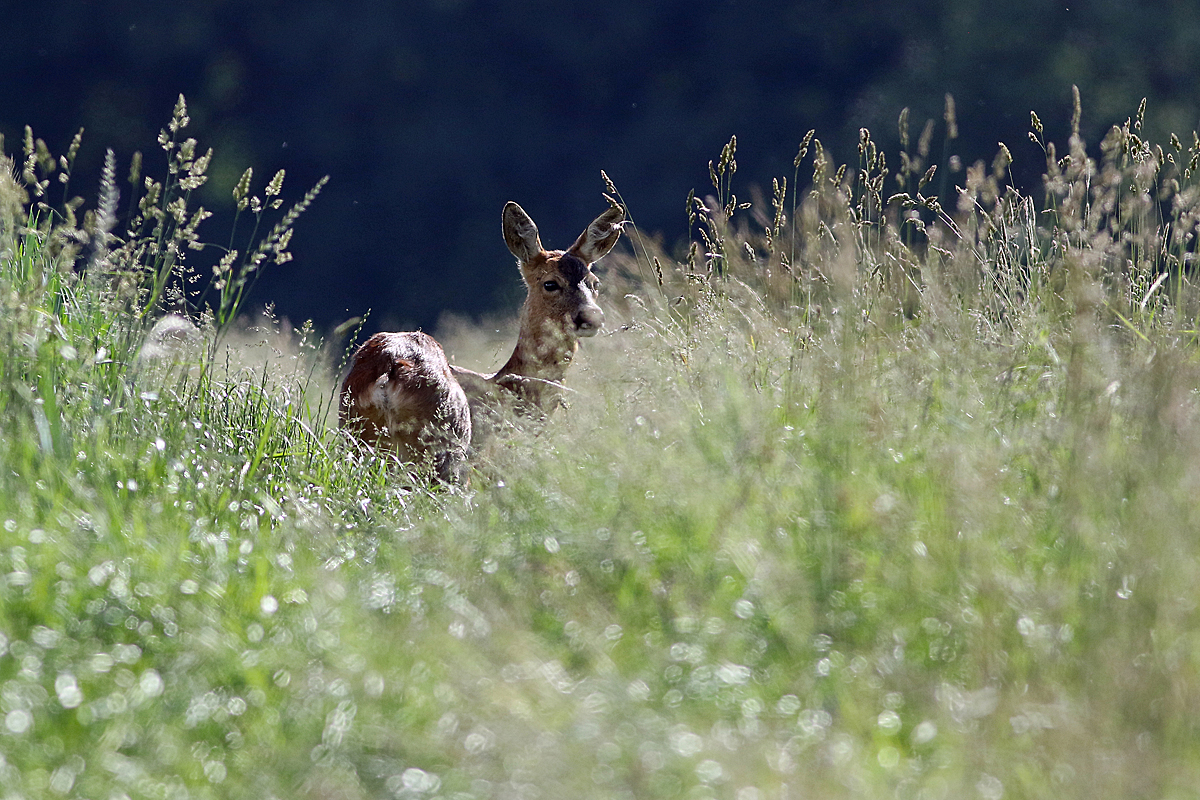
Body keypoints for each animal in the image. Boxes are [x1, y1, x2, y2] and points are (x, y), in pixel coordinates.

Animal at [336, 203, 624, 484]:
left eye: (594, 283)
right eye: (550, 283)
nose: (591, 316)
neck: (511, 392)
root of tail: (389, 370)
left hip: (357, 437)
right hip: (447, 444)